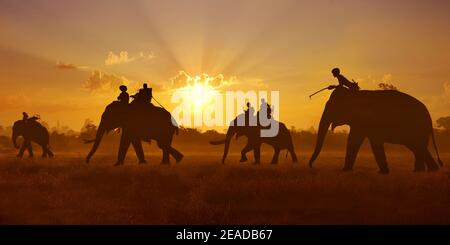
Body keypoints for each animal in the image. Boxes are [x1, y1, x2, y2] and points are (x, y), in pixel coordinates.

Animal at [310, 87, 442, 173]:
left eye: (333, 107)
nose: (311, 166)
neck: (355, 95)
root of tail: (429, 116)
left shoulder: (366, 120)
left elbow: (359, 141)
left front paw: (345, 170)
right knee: (418, 148)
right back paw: (425, 171)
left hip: (417, 128)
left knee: (418, 147)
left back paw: (426, 171)